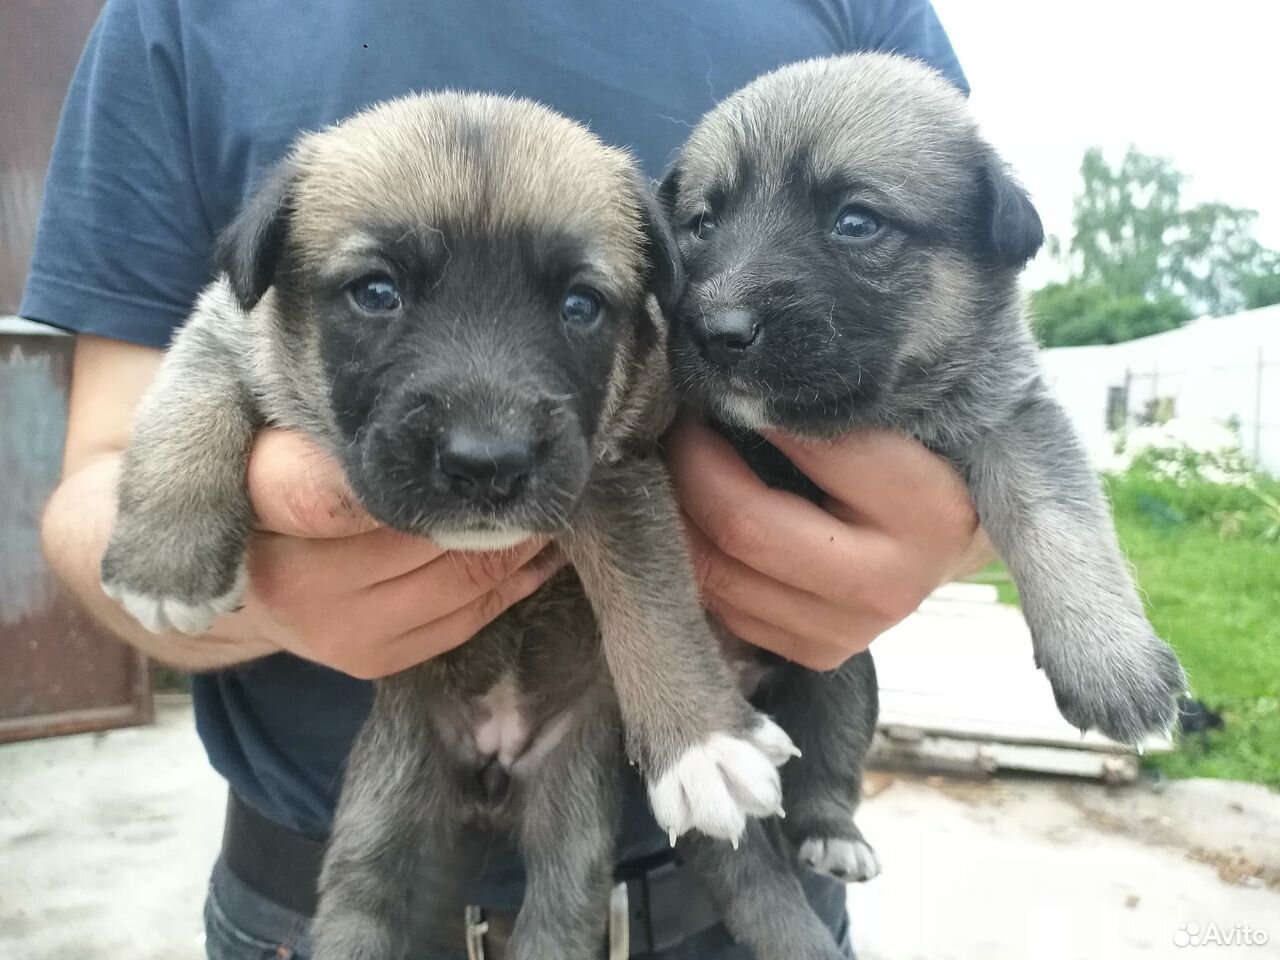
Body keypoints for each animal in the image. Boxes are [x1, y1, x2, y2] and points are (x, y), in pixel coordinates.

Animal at [102, 94, 798, 960]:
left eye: (580, 306)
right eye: (376, 292)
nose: (485, 463)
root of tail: (493, 769)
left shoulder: (617, 468)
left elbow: (652, 601)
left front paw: (702, 743)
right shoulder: (231, 326)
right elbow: (187, 389)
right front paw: (165, 556)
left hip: (570, 816)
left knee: (561, 910)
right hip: (388, 810)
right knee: (364, 905)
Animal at [660, 54, 1187, 960]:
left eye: (856, 221)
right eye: (701, 224)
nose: (714, 328)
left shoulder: (1012, 415)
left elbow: (1059, 519)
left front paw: (1110, 663)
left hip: (846, 682)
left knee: (821, 782)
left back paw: (834, 836)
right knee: (742, 858)